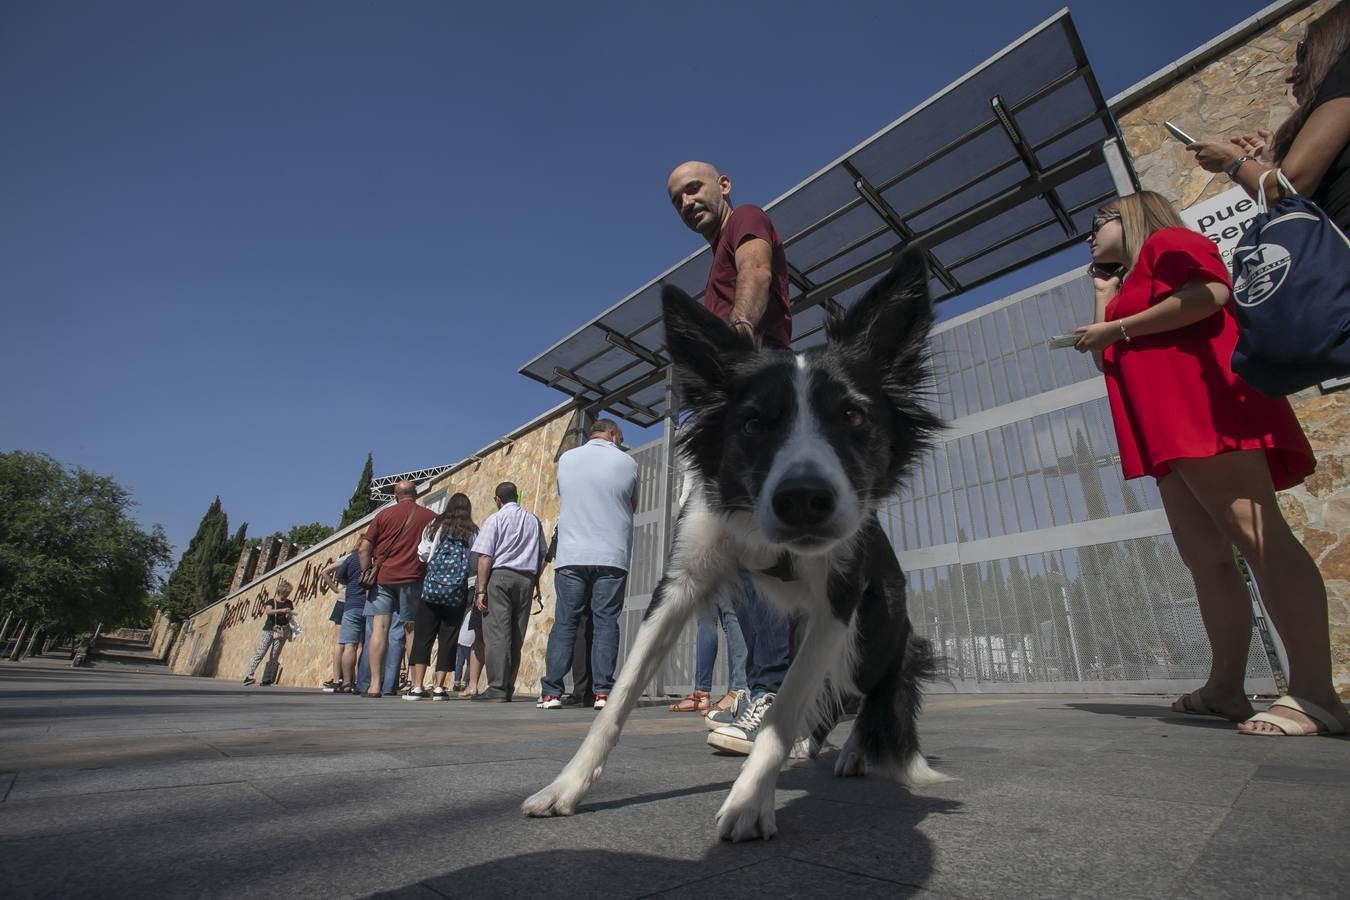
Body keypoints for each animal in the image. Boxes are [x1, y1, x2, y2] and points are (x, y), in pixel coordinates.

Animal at [521, 246, 945, 847]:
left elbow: (784, 706)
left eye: (854, 415)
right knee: (835, 695)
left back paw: (860, 754)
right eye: (752, 423)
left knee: (874, 688)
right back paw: (818, 749)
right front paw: (566, 787)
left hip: (869, 633)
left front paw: (748, 801)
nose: (803, 500)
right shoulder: (681, 581)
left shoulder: (838, 601)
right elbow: (619, 700)